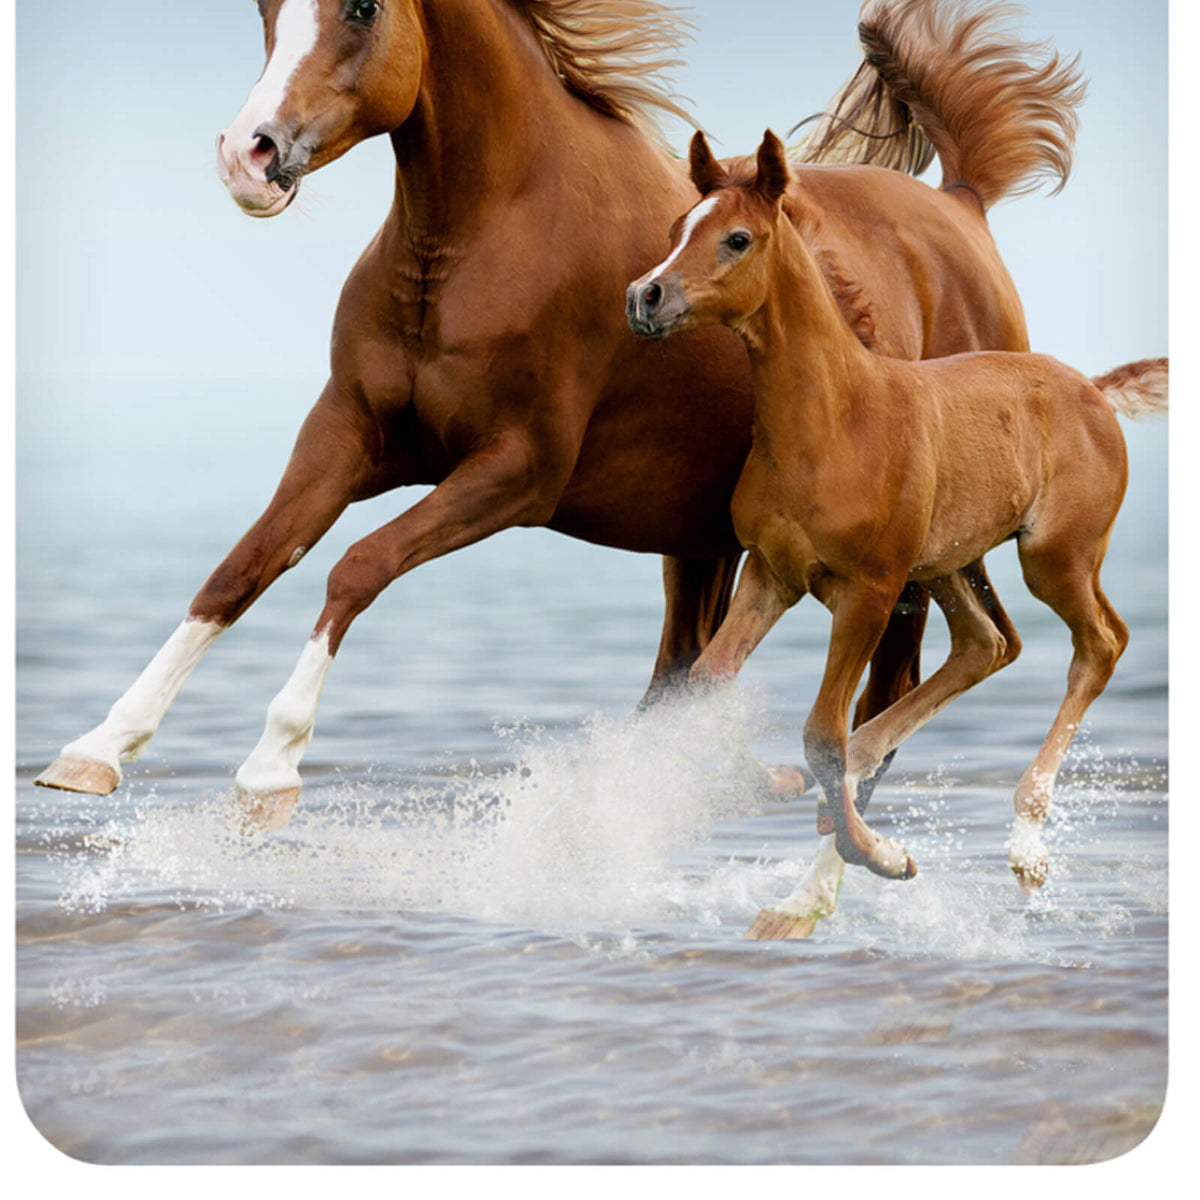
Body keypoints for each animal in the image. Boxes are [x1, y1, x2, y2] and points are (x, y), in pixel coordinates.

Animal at [35, 0, 1085, 835]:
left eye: (364, 8)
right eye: (265, 7)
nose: (247, 156)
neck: (476, 240)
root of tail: (963, 208)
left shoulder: (516, 471)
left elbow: (356, 567)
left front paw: (269, 769)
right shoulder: (346, 438)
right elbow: (243, 568)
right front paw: (96, 749)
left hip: (903, 551)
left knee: (896, 679)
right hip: (699, 541)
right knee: (684, 676)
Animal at [626, 129, 1167, 939]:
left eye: (737, 238)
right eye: (674, 231)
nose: (645, 297)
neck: (834, 420)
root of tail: (1094, 390)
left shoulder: (869, 592)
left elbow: (820, 732)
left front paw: (878, 855)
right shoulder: (771, 574)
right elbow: (709, 684)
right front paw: (794, 794)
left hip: (1051, 557)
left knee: (1100, 642)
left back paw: (1026, 848)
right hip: (945, 564)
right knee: (986, 644)